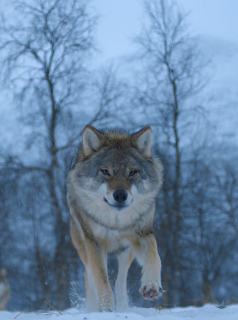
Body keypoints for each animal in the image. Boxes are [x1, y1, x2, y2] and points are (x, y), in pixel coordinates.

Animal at [67, 125, 164, 310]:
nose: (120, 195)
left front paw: (151, 284)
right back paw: (93, 307)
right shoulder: (94, 242)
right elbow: (102, 281)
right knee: (89, 275)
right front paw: (106, 309)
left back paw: (124, 307)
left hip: (126, 251)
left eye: (132, 172)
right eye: (105, 171)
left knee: (121, 281)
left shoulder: (142, 234)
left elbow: (154, 254)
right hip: (83, 246)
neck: (116, 222)